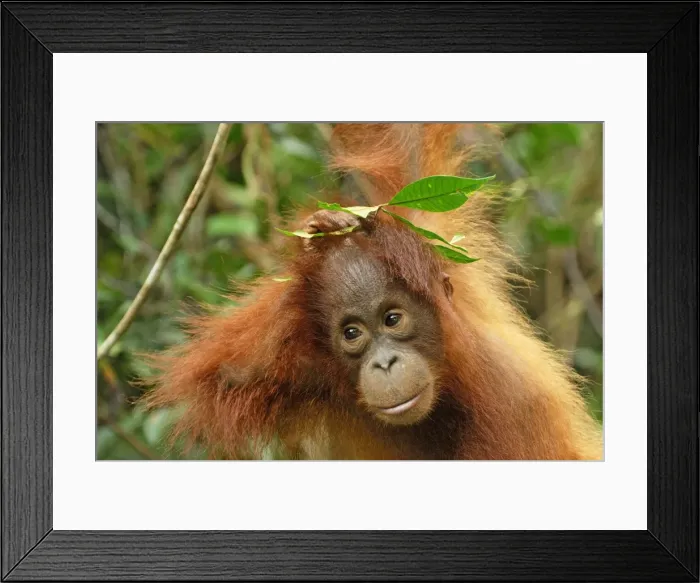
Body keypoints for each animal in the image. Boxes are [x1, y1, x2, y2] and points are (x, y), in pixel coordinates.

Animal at [143, 123, 603, 460]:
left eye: (393, 319)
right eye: (352, 333)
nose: (384, 363)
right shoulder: (310, 371)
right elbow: (223, 374)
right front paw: (323, 235)